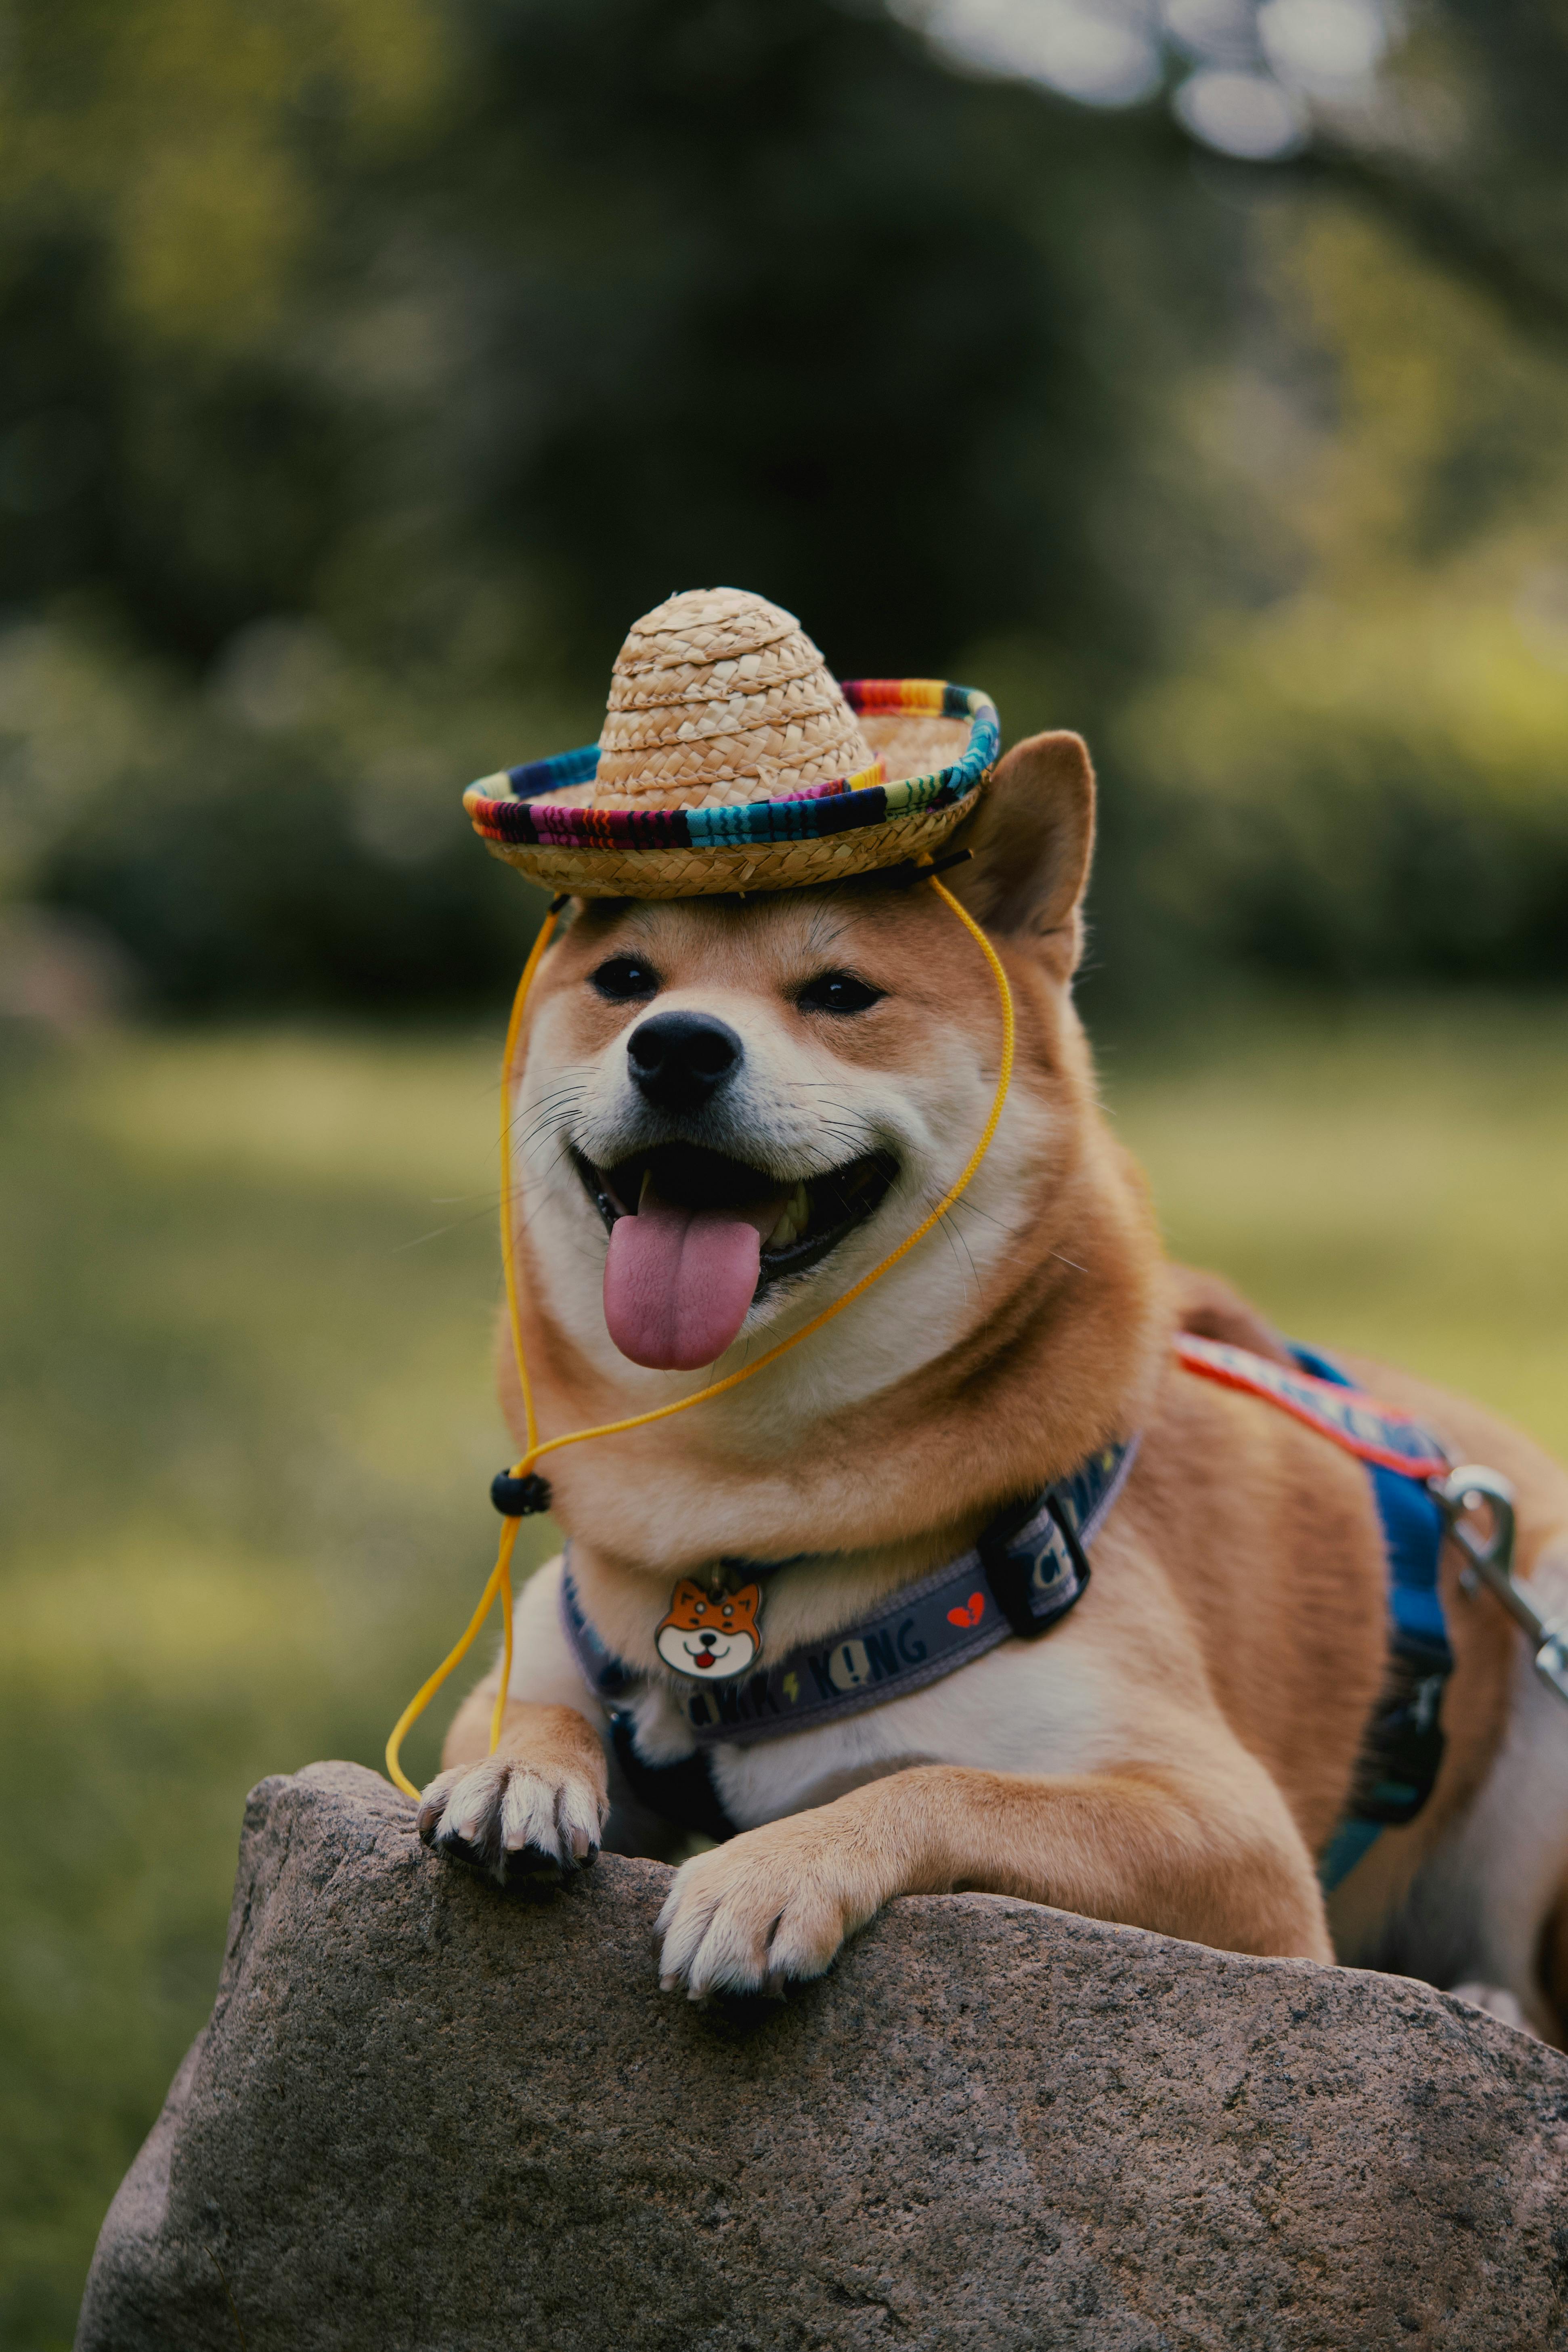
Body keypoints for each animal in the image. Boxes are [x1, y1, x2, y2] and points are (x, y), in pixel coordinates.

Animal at [413, 705, 1568, 2032]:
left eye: (840, 993)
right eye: (625, 984)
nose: (677, 1047)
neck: (732, 1512)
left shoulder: (1230, 1836)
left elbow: (944, 1785)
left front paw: (771, 1867)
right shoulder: (551, 1646)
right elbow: (525, 1708)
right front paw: (520, 1771)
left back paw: (1483, 2003)